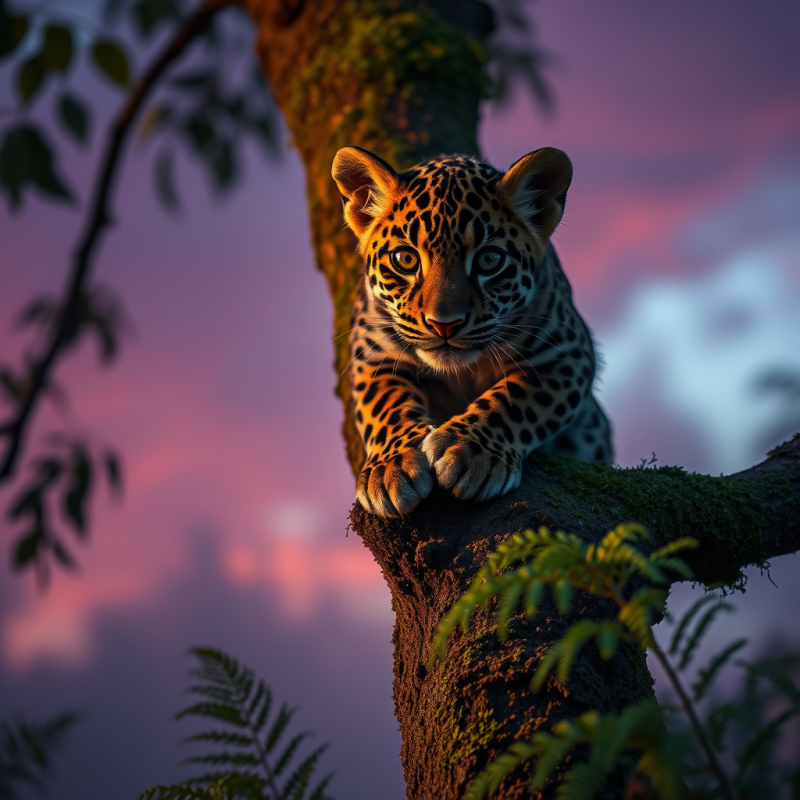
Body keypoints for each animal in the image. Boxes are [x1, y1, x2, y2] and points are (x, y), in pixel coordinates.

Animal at [331, 145, 613, 518]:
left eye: (489, 260)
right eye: (405, 259)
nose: (444, 324)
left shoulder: (566, 355)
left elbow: (514, 400)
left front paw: (469, 452)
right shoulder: (374, 358)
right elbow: (386, 407)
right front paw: (391, 467)